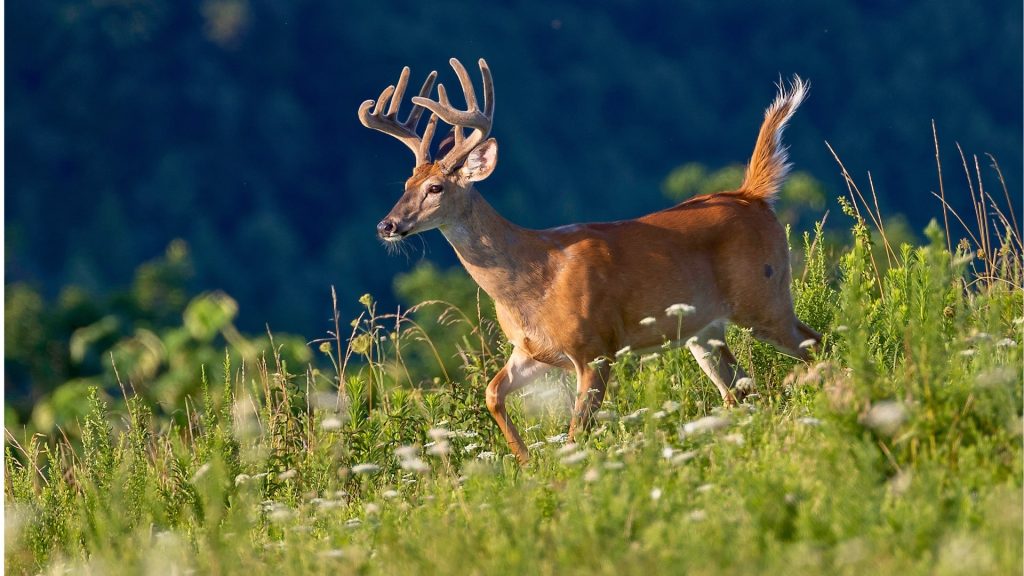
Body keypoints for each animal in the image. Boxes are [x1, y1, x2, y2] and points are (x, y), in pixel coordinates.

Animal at [356, 57, 819, 461]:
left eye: (435, 188)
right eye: (406, 183)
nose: (386, 225)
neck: (532, 278)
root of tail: (751, 196)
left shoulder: (596, 347)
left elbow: (577, 430)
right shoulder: (532, 351)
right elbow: (492, 393)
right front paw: (526, 463)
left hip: (763, 298)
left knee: (814, 343)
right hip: (704, 331)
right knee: (741, 389)